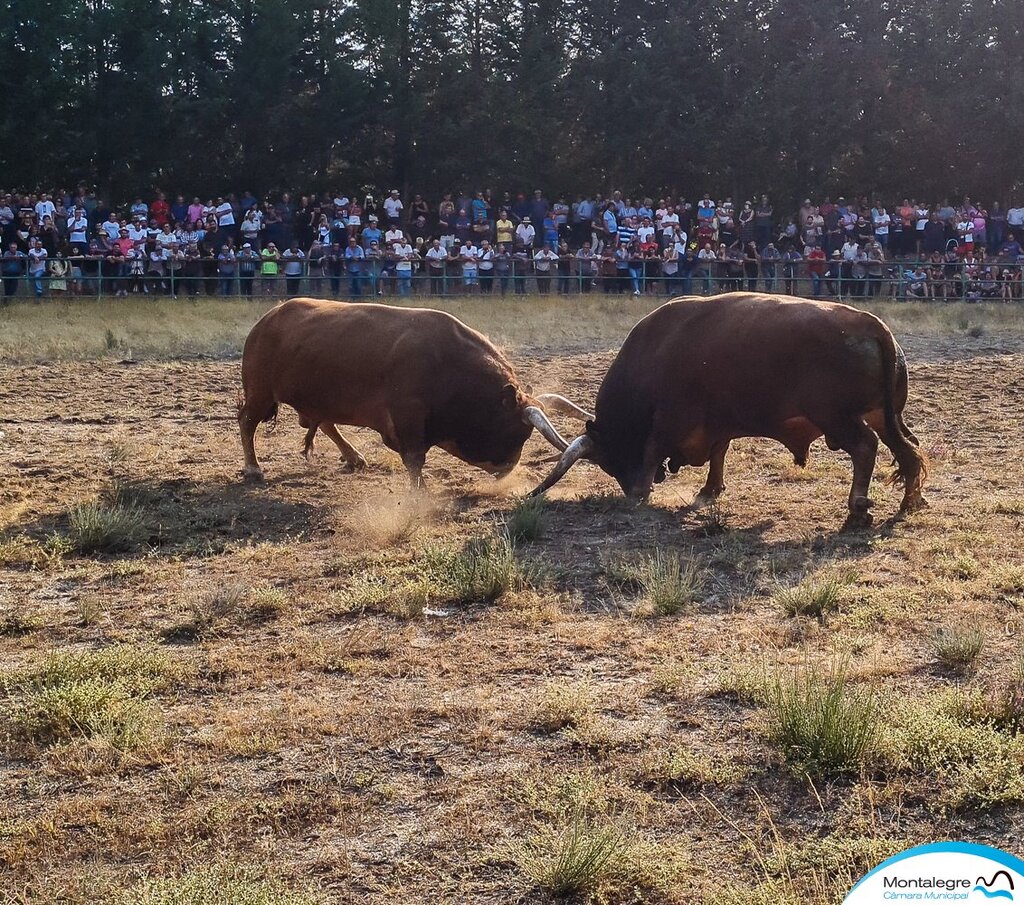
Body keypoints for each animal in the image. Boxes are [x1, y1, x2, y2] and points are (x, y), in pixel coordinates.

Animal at [240, 298, 577, 485]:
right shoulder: (407, 417)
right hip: (260, 392)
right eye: (519, 433)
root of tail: (269, 317)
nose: (509, 467)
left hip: (319, 399)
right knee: (247, 421)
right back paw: (253, 468)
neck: (447, 364)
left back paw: (353, 456)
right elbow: (414, 460)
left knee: (325, 423)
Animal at [536, 292, 929, 528]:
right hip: (884, 416)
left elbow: (652, 451)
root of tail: (869, 323)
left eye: (609, 458)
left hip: (838, 418)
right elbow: (718, 453)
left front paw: (640, 493)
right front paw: (709, 490)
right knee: (908, 451)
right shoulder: (717, 423)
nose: (630, 485)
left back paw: (858, 507)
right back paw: (911, 500)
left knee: (865, 447)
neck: (652, 353)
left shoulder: (669, 420)